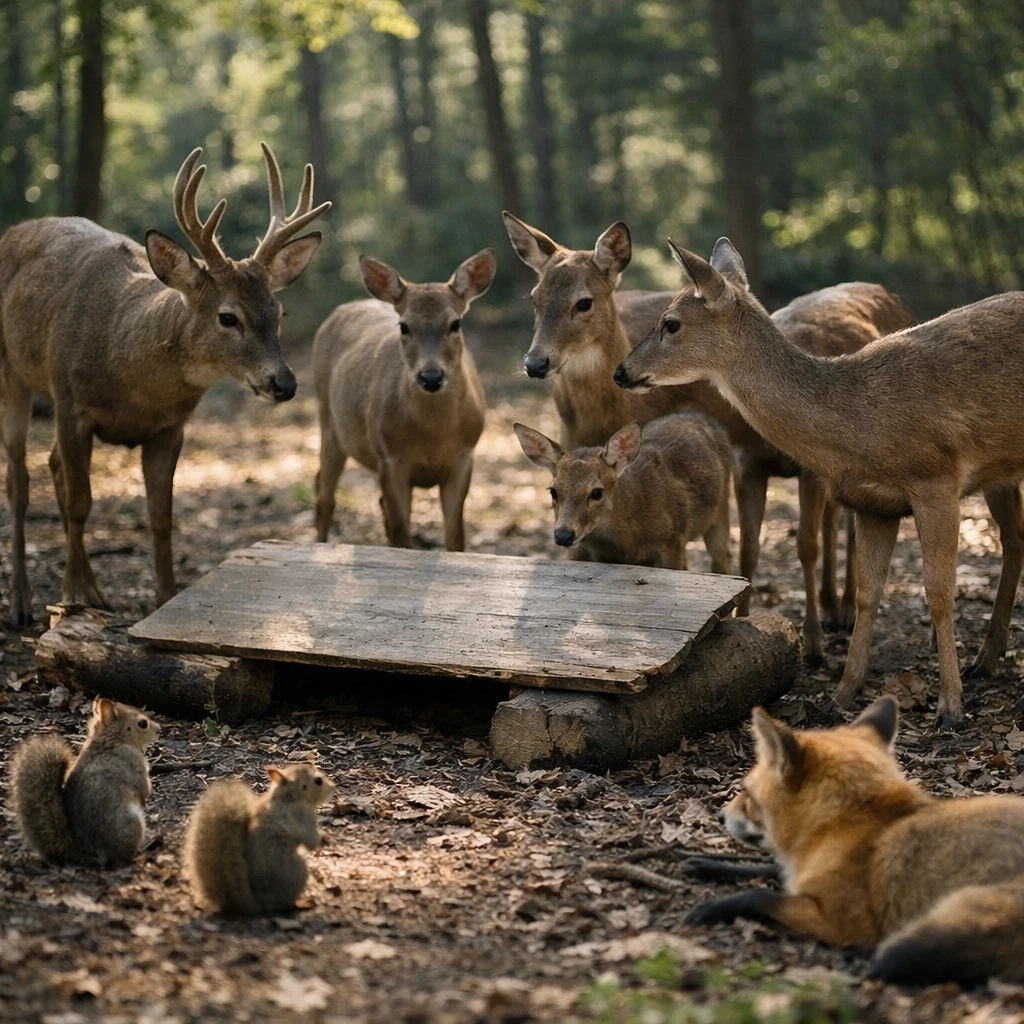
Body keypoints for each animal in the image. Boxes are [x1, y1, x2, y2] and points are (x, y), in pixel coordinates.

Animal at [0, 144, 329, 627]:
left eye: (278, 311)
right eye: (227, 317)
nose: (284, 383)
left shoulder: (170, 427)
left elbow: (161, 516)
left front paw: (164, 599)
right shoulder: (71, 403)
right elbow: (82, 502)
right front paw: (72, 593)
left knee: (53, 464)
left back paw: (94, 591)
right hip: (13, 373)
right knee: (19, 481)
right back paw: (23, 602)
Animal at [312, 249, 496, 551]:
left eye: (455, 323)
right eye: (404, 326)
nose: (431, 377)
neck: (434, 436)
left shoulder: (464, 456)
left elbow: (455, 536)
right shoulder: (390, 459)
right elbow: (402, 536)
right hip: (328, 422)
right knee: (324, 496)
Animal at [514, 412, 732, 573]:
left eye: (596, 492)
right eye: (553, 491)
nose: (563, 535)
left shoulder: (673, 541)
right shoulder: (580, 551)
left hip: (721, 511)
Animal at [614, 236, 1024, 728]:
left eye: (670, 323)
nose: (621, 371)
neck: (859, 422)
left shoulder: (936, 478)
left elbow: (939, 592)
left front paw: (949, 707)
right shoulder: (873, 504)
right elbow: (868, 593)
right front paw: (842, 694)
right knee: (1016, 541)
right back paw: (988, 659)